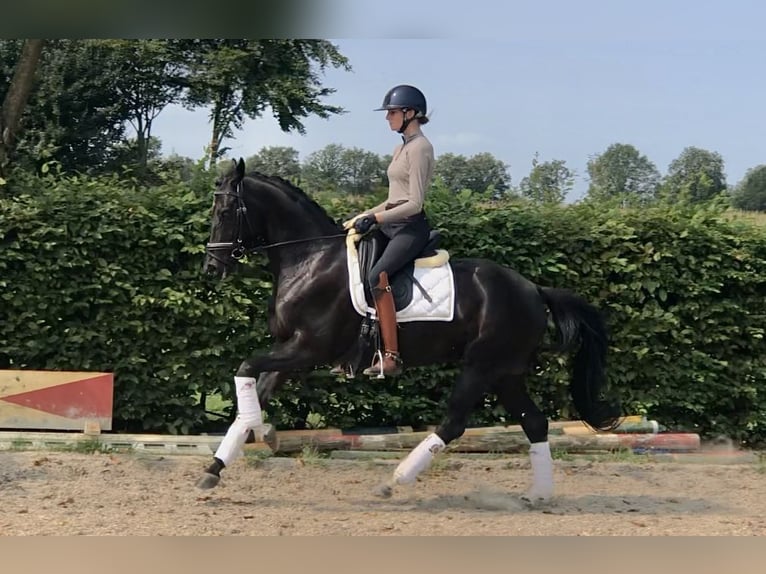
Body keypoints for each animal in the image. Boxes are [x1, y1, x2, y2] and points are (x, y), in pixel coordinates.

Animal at [200, 158, 624, 504]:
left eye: (226, 210)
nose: (211, 268)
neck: (310, 258)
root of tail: (534, 289)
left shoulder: (307, 349)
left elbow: (244, 367)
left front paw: (250, 434)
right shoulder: (288, 350)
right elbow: (255, 389)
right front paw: (215, 468)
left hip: (482, 366)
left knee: (454, 423)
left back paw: (394, 480)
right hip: (506, 371)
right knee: (534, 422)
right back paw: (539, 494)